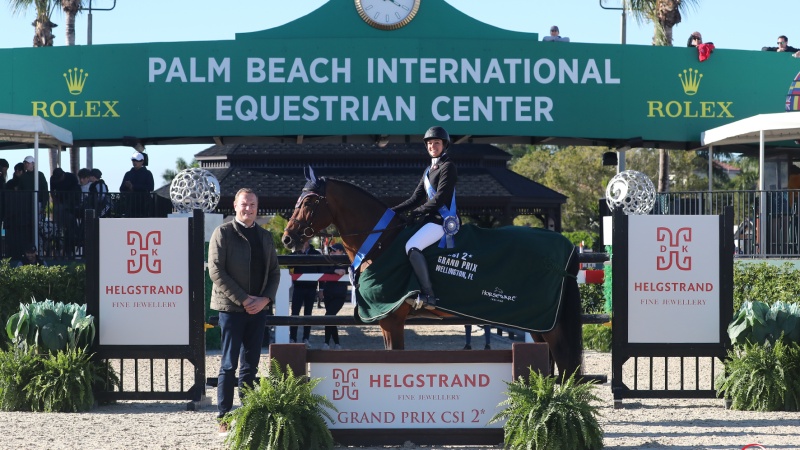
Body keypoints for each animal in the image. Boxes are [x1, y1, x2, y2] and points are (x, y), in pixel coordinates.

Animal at [282, 172, 580, 376]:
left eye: (309, 202)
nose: (287, 238)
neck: (380, 242)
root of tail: (567, 246)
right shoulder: (385, 321)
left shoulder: (391, 318)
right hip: (538, 323)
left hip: (550, 325)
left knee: (566, 367)